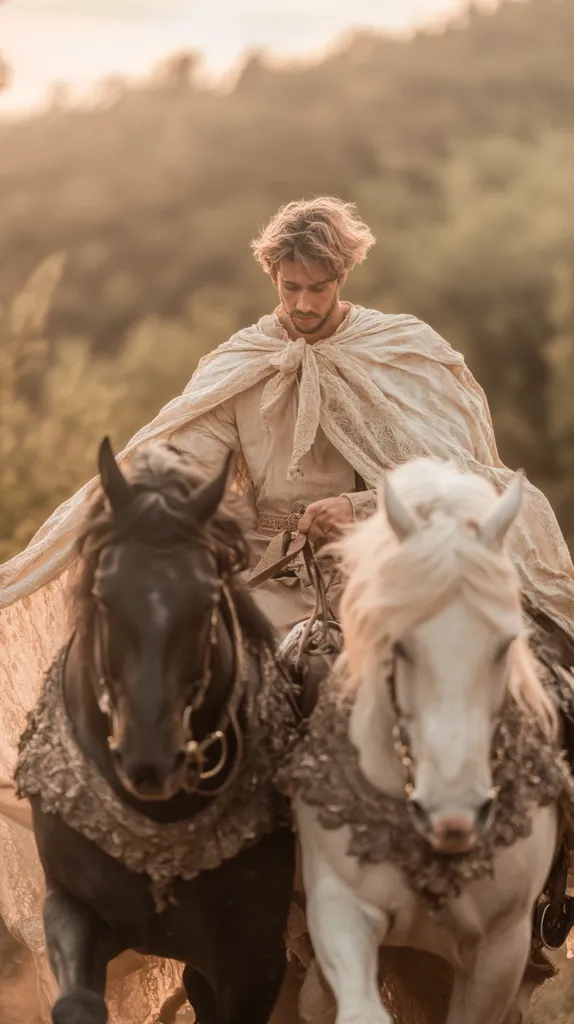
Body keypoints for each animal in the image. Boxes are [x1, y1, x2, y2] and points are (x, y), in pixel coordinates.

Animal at [14, 437, 300, 1024]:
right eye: (104, 595)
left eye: (208, 600)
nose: (150, 761)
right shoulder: (72, 908)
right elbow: (77, 1002)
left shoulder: (256, 957)